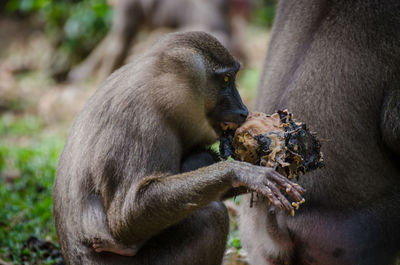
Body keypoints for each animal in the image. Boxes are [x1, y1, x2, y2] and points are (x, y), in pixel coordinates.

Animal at [52, 31, 304, 264]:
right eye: (225, 80)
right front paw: (243, 173)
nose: (243, 110)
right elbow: (126, 217)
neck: (157, 88)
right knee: (212, 216)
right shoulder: (140, 122)